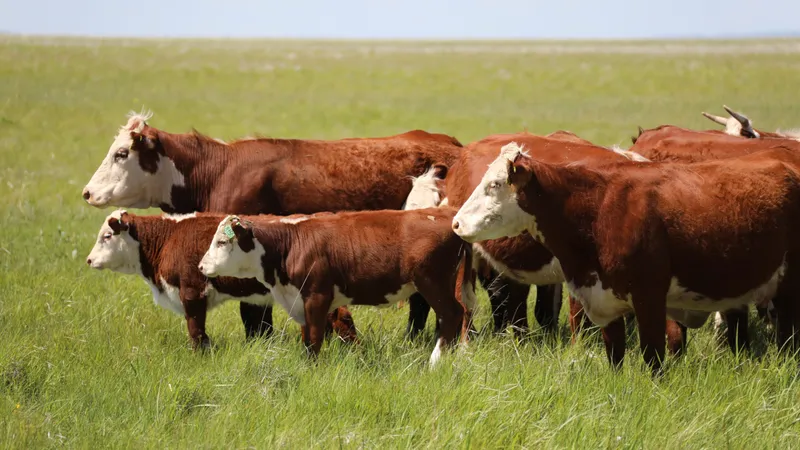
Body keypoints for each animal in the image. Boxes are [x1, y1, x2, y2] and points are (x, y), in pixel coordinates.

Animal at [197, 208, 476, 366]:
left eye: (222, 242)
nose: (201, 266)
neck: (290, 245)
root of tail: (448, 218)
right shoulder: (301, 302)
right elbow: (306, 338)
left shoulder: (316, 296)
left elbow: (314, 338)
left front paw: (312, 368)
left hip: (432, 282)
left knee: (452, 314)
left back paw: (435, 361)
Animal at [452, 142, 800, 373]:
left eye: (495, 184)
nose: (455, 223)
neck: (596, 210)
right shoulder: (606, 301)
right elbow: (615, 357)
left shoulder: (650, 299)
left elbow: (653, 358)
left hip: (787, 290)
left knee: (788, 339)